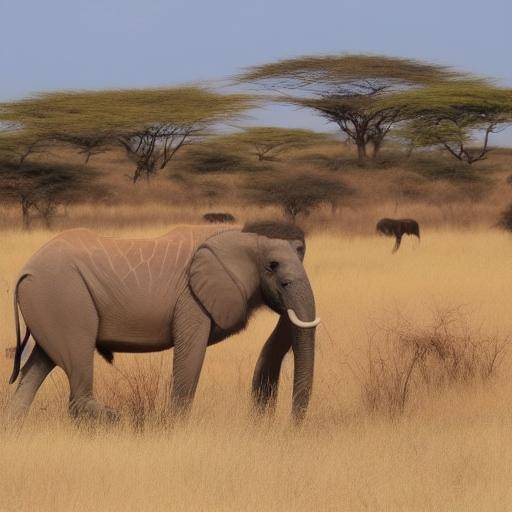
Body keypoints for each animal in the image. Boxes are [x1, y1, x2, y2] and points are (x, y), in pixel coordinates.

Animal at [6, 220, 320, 424]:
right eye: (273, 266)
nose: (289, 424)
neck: (245, 238)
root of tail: (24, 271)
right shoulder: (192, 300)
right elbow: (190, 357)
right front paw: (174, 427)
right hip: (64, 297)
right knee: (76, 361)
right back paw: (119, 419)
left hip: (52, 305)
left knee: (40, 363)